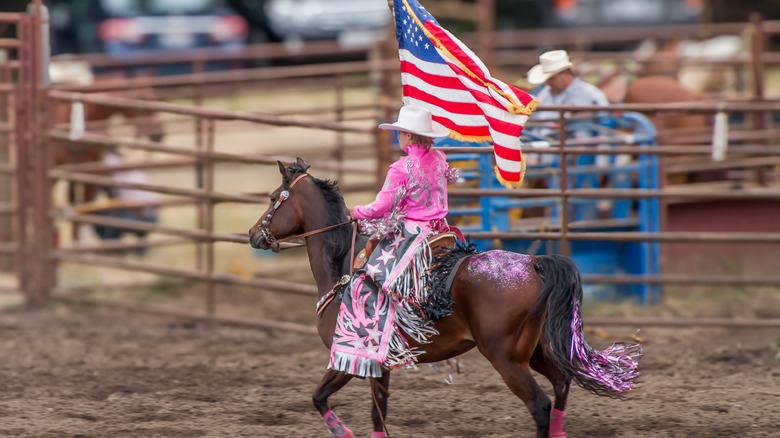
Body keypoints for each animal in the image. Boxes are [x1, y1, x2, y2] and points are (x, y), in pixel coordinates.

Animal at [248, 159, 640, 436]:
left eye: (272, 198)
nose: (253, 234)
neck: (342, 269)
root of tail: (534, 263)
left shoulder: (350, 357)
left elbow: (319, 398)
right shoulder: (380, 366)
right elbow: (378, 415)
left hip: (506, 358)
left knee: (540, 404)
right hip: (535, 351)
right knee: (561, 385)